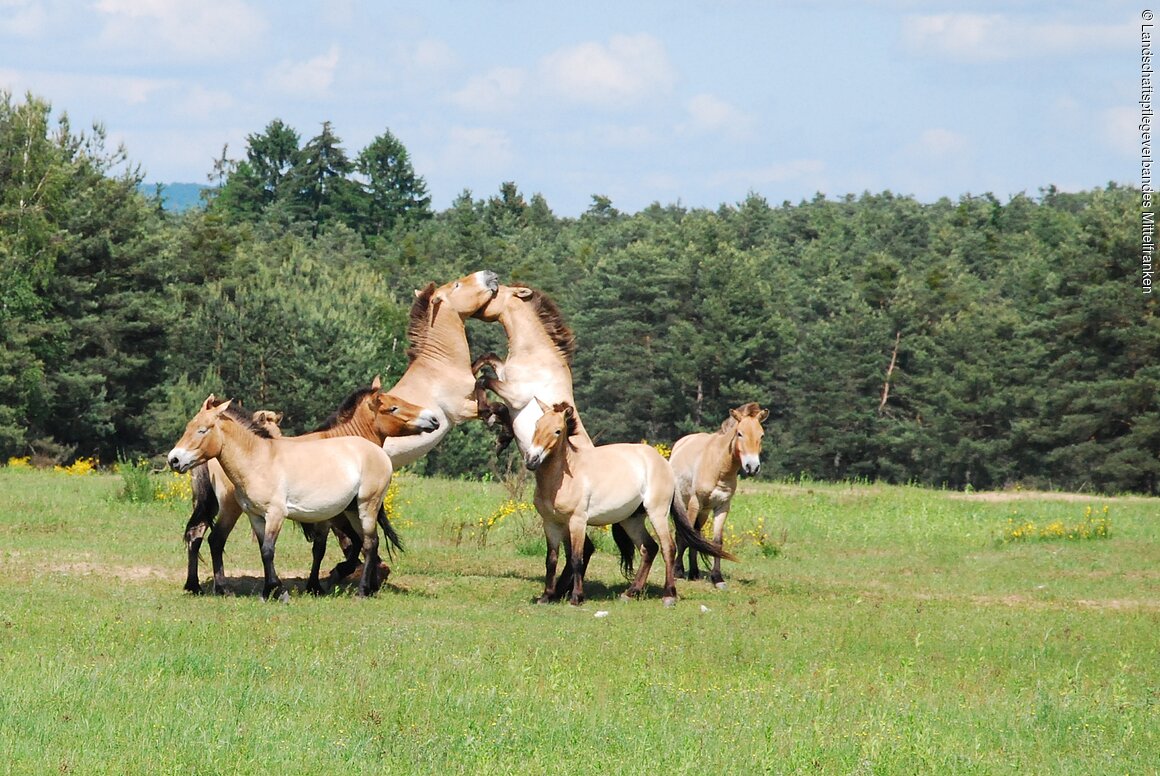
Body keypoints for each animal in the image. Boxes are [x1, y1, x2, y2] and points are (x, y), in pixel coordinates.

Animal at [180, 378, 438, 598]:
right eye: (394, 407)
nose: (434, 420)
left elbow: (336, 546)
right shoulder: (333, 516)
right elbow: (338, 547)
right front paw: (326, 580)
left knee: (195, 535)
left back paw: (194, 585)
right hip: (230, 508)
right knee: (216, 540)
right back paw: (221, 588)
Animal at [526, 399, 733, 603]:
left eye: (557, 431)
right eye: (536, 425)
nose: (531, 460)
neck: (567, 476)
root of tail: (664, 462)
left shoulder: (578, 521)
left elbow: (577, 558)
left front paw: (576, 597)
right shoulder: (551, 523)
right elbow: (551, 559)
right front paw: (546, 596)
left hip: (657, 513)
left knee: (668, 548)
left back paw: (669, 595)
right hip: (631, 520)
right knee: (649, 548)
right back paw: (630, 592)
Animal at [672, 399, 770, 586]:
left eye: (761, 435)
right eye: (739, 433)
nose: (752, 467)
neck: (719, 467)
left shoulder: (722, 506)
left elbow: (717, 542)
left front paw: (717, 577)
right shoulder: (695, 503)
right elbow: (685, 537)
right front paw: (677, 571)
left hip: (704, 511)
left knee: (697, 534)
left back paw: (694, 572)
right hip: (687, 504)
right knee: (683, 534)